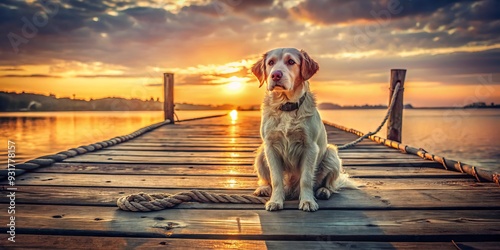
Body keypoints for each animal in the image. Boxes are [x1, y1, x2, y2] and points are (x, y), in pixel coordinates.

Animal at [249, 47, 352, 212]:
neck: (286, 106)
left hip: (331, 154)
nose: (275, 75)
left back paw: (324, 191)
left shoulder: (310, 147)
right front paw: (275, 201)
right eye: (270, 62)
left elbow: (306, 179)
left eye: (291, 61)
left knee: (330, 184)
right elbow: (276, 179)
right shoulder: (270, 147)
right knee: (266, 180)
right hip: (261, 153)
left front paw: (308, 201)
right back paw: (264, 188)